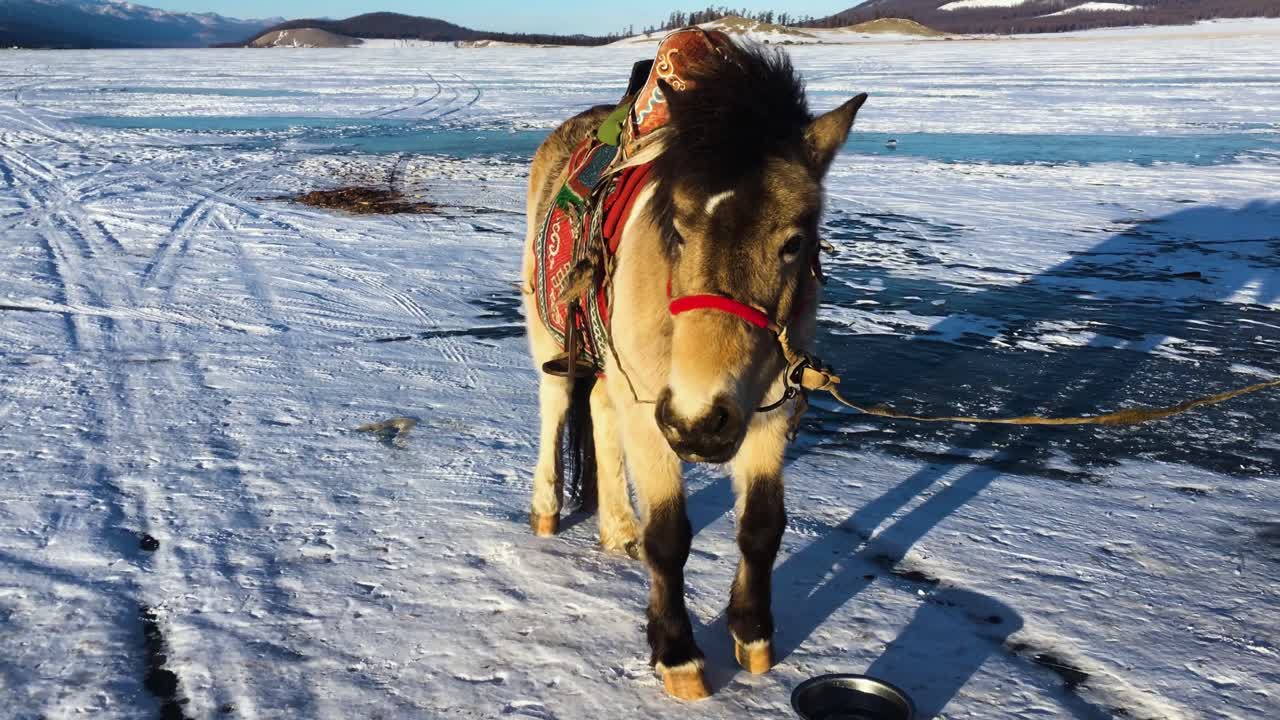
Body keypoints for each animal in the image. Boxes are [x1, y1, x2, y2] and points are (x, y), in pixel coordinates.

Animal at [521, 31, 866, 700]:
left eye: (794, 242)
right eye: (677, 231)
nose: (701, 424)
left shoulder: (769, 411)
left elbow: (762, 526)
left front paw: (753, 637)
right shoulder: (656, 413)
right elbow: (670, 537)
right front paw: (677, 655)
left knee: (598, 410)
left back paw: (618, 528)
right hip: (550, 334)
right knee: (557, 406)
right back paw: (548, 512)